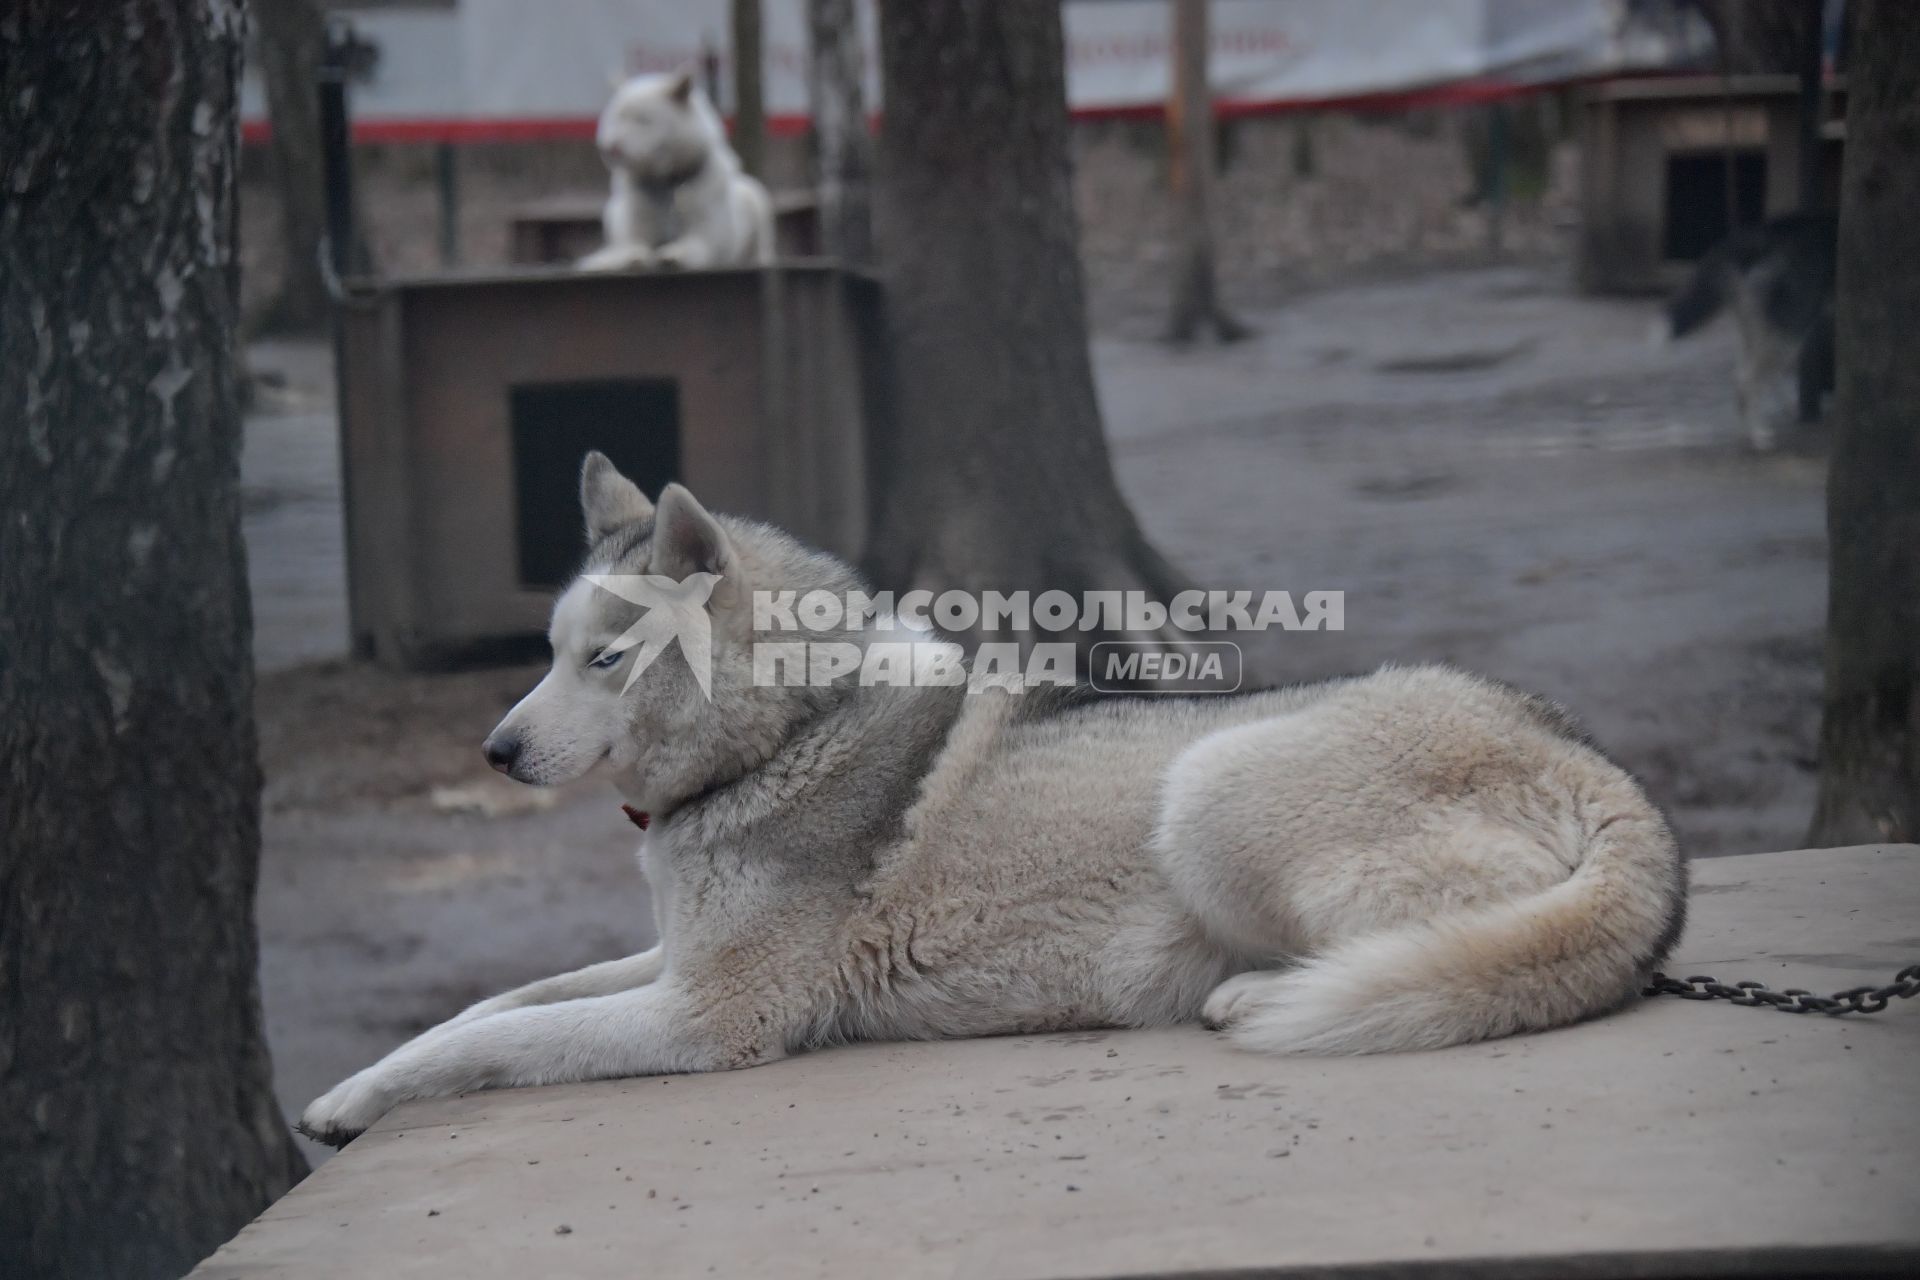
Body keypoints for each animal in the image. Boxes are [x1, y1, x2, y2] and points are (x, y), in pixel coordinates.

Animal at [295, 454, 1681, 1143]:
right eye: (543, 650)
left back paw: (1263, 990)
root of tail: (1599, 767)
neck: (794, 726)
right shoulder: (668, 959)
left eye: (607, 657)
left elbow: (490, 1040)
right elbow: (497, 1000)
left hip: (1206, 792)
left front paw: (360, 1100)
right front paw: (353, 1086)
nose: (492, 750)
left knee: (1456, 948)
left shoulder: (708, 1014)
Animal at [576, 70, 771, 270]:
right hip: (612, 210)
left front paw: (674, 254)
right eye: (616, 118)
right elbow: (632, 246)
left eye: (642, 120)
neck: (667, 183)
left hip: (755, 196)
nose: (610, 148)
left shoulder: (707, 235)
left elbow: (693, 247)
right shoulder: (636, 223)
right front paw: (624, 258)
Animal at [1658, 211, 1835, 450]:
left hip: (1755, 329)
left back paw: (1748, 432)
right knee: (1749, 380)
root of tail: (1758, 233)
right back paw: (1758, 437)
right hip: (1790, 330)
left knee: (1743, 377)